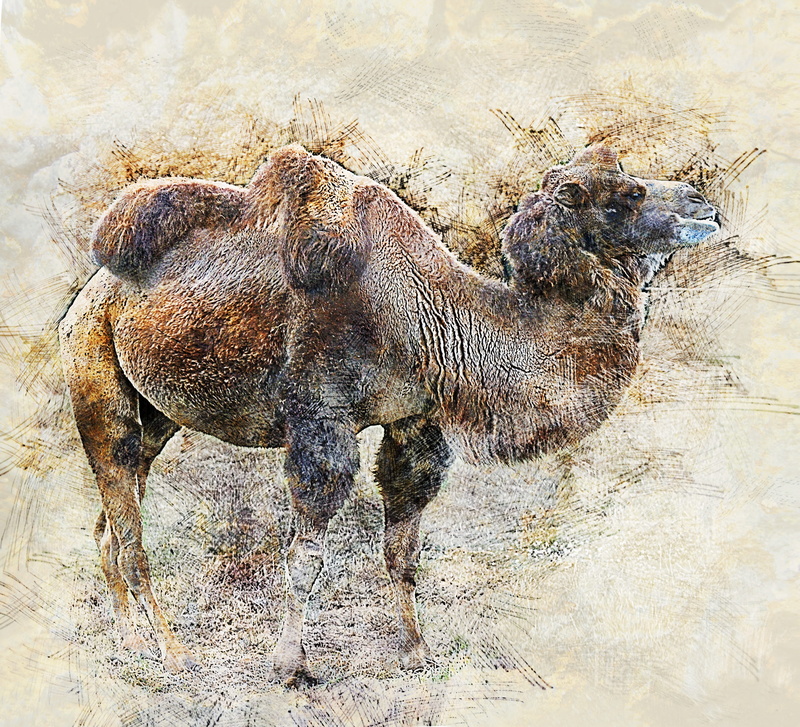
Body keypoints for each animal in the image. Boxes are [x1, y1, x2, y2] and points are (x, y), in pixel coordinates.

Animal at [59, 144, 718, 684]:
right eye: (626, 195)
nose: (703, 205)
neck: (434, 317)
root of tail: (89, 293)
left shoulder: (415, 422)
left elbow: (402, 549)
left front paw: (415, 652)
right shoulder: (320, 417)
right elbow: (306, 557)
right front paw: (291, 666)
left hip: (157, 412)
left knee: (110, 524)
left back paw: (127, 641)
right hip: (93, 371)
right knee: (128, 524)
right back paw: (173, 656)